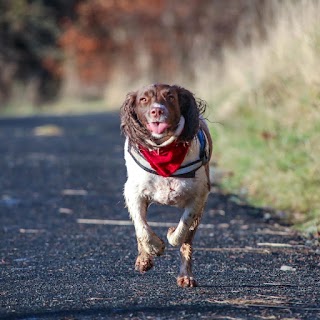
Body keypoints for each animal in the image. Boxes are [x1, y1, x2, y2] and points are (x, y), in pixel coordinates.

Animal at [120, 83, 212, 288]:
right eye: (143, 99)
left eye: (170, 97)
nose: (157, 110)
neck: (163, 151)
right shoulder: (133, 193)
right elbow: (142, 229)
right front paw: (155, 248)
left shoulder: (198, 197)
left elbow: (182, 232)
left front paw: (170, 234)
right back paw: (144, 259)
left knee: (187, 242)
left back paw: (186, 276)